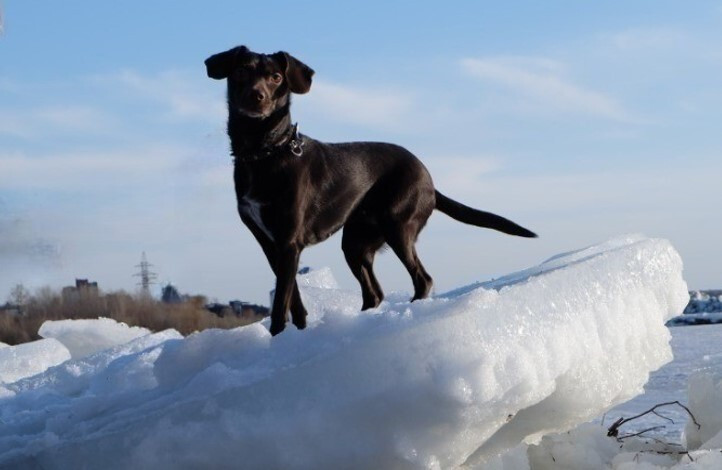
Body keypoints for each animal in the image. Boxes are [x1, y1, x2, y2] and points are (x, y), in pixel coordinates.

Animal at [202, 46, 536, 336]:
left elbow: (282, 300)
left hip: (397, 225)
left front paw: (276, 336)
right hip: (356, 242)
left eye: (275, 77)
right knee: (374, 293)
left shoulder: (288, 241)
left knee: (422, 279)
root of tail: (430, 182)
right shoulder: (271, 245)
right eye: (241, 71)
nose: (256, 96)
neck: (266, 151)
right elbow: (292, 298)